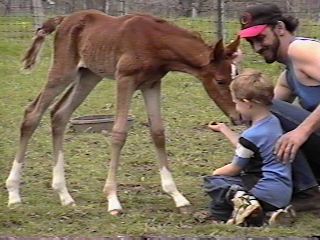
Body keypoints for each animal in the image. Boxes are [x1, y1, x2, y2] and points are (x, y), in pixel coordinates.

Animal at [6, 9, 240, 216]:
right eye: (220, 80)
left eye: (236, 76)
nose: (236, 116)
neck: (156, 42)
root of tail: (63, 19)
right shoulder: (125, 80)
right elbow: (119, 133)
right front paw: (112, 200)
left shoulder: (152, 84)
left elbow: (158, 132)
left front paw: (177, 197)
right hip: (64, 71)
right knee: (32, 113)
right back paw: (14, 194)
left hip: (89, 75)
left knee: (59, 114)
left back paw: (64, 195)